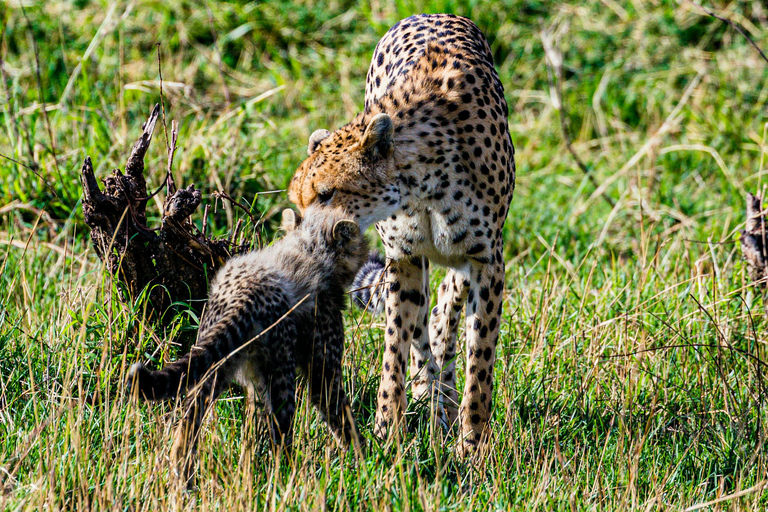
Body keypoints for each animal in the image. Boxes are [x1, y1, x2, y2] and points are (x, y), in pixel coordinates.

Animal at [288, 12, 516, 454]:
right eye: (299, 202)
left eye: (326, 194)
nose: (307, 243)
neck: (424, 181)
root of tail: (434, 12)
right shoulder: (404, 258)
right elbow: (396, 344)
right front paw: (387, 430)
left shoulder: (487, 261)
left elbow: (480, 361)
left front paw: (472, 446)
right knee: (427, 325)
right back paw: (432, 398)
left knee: (446, 303)